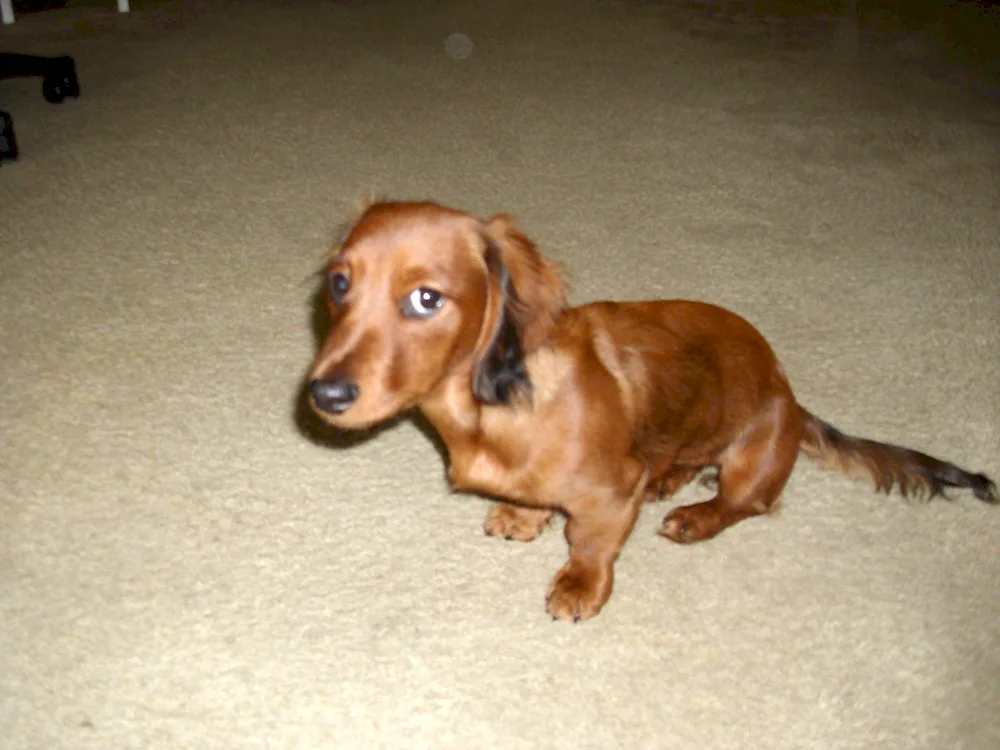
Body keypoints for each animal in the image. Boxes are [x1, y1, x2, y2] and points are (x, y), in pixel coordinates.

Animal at [308, 200, 996, 624]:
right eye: (340, 284)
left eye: (426, 299)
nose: (324, 395)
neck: (490, 410)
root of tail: (794, 401)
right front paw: (523, 514)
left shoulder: (612, 491)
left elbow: (589, 543)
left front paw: (580, 588)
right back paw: (671, 477)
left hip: (755, 457)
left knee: (743, 504)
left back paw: (695, 514)